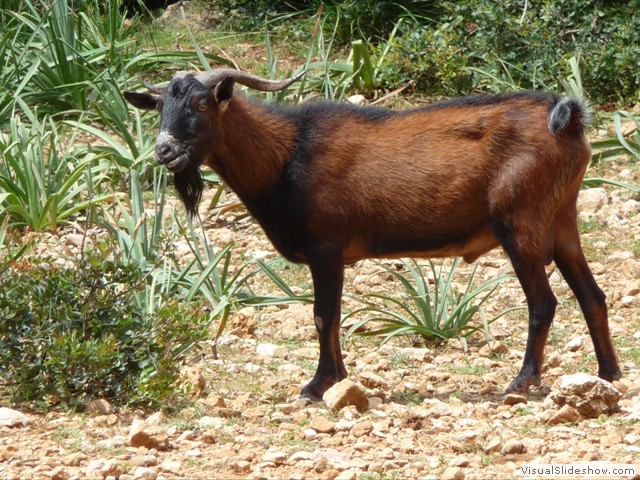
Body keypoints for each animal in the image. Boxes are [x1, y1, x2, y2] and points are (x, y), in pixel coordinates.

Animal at [124, 69, 621, 401]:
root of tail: (569, 120)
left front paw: (318, 385)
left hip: (520, 222)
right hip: (561, 219)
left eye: (201, 105)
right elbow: (333, 317)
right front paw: (339, 379)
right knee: (591, 295)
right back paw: (608, 374)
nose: (165, 150)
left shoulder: (325, 247)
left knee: (544, 302)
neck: (287, 154)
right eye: (161, 108)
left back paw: (521, 382)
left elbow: (323, 315)